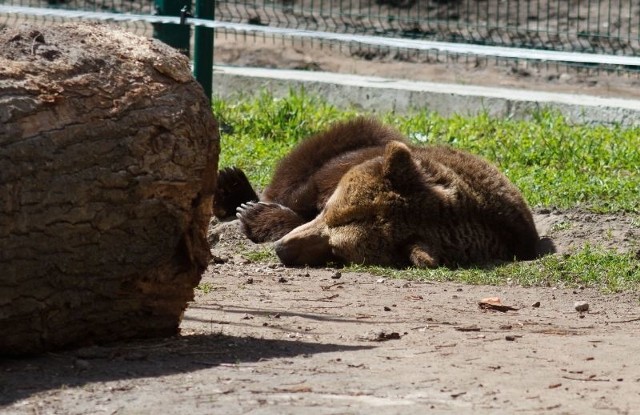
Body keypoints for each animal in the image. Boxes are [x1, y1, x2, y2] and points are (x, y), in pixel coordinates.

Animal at [215, 116, 540, 270]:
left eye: (338, 250)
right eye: (327, 212)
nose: (282, 249)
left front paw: (255, 215)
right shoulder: (346, 166)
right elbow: (301, 193)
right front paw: (250, 208)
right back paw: (230, 186)